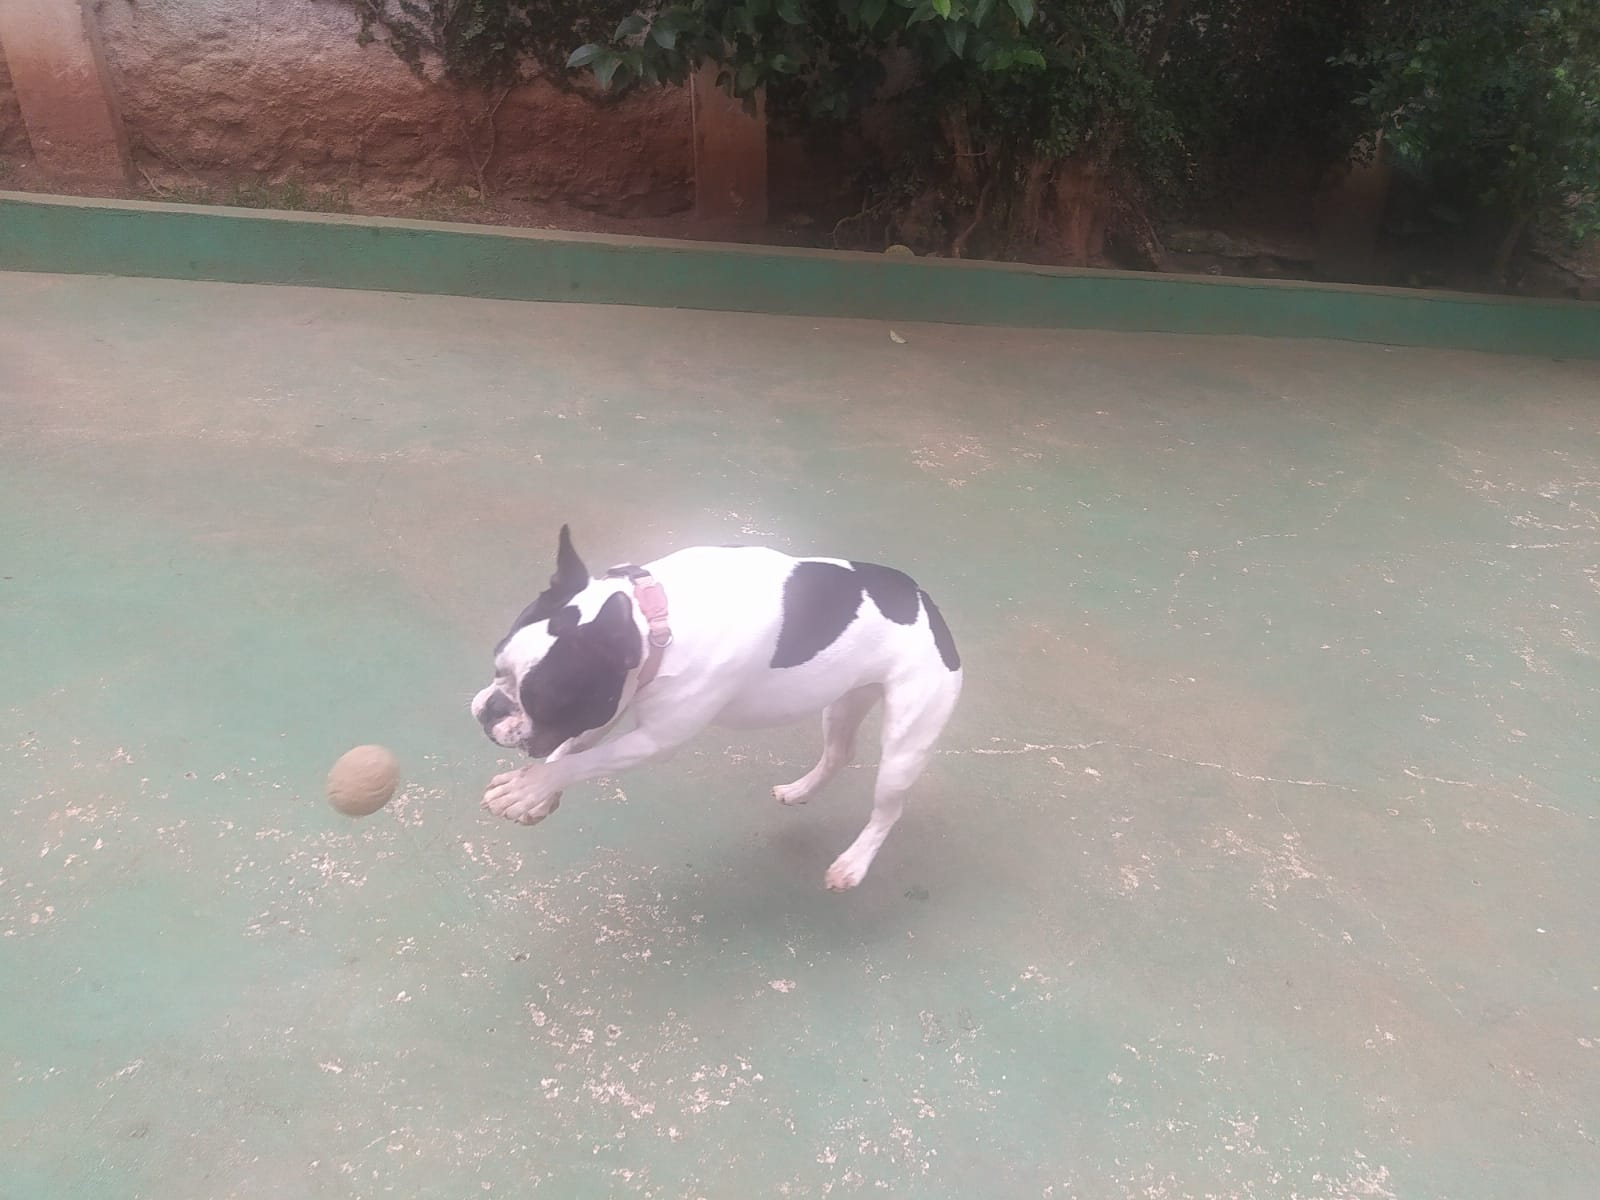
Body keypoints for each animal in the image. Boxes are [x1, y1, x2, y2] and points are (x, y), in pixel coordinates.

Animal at [470, 527, 963, 890]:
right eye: (496, 662)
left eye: (544, 699)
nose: (490, 708)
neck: (653, 620)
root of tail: (925, 600)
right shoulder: (612, 702)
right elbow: (570, 750)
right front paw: (537, 792)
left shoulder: (655, 741)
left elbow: (583, 761)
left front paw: (527, 788)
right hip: (843, 699)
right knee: (839, 752)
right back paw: (799, 790)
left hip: (905, 743)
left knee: (887, 809)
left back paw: (854, 863)